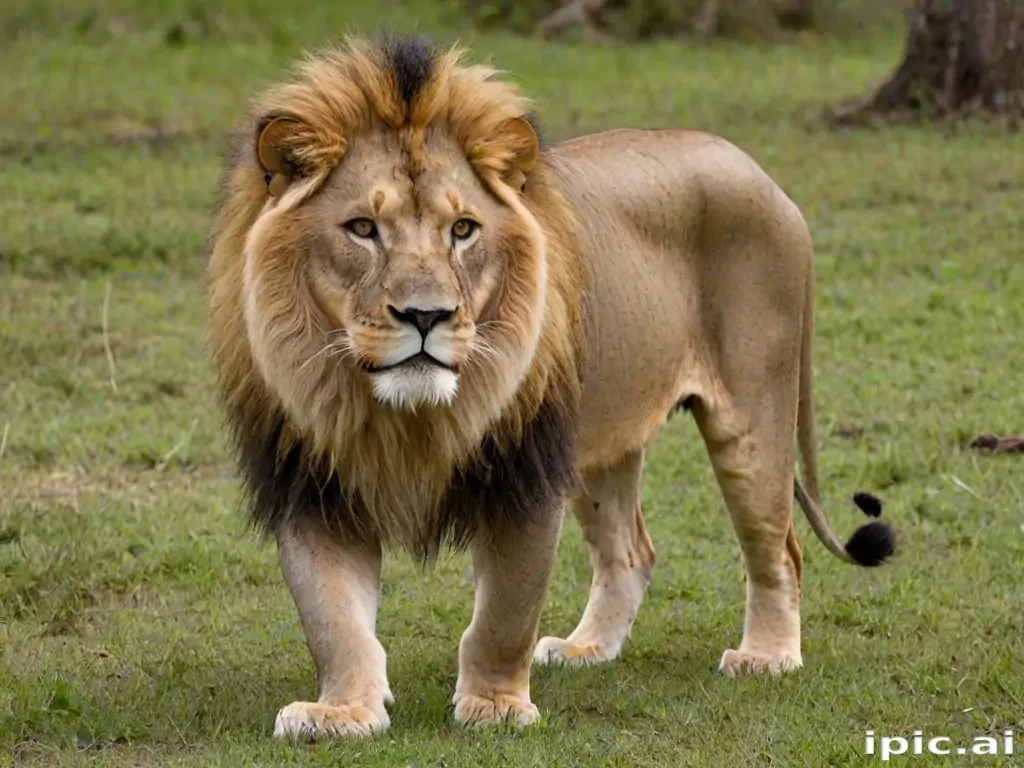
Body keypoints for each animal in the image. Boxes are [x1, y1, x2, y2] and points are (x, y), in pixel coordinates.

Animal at [207, 34, 896, 739]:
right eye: (363, 229)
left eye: (463, 229)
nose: (426, 316)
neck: (402, 415)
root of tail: (757, 170)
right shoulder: (309, 482)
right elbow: (333, 620)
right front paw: (341, 711)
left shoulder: (524, 472)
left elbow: (505, 612)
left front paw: (495, 706)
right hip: (598, 441)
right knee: (632, 551)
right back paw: (588, 648)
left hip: (753, 413)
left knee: (779, 549)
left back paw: (767, 657)